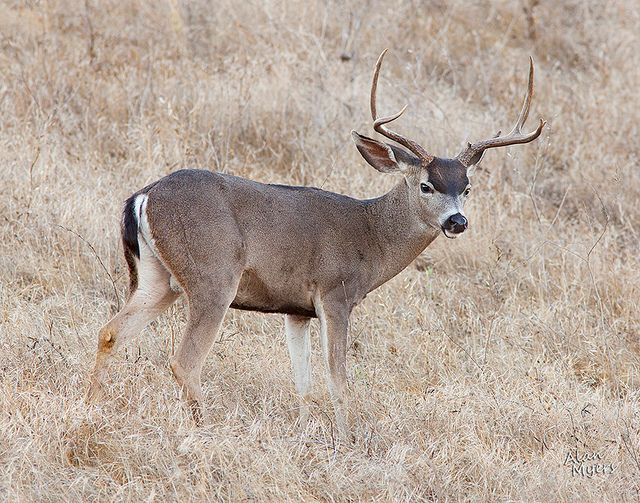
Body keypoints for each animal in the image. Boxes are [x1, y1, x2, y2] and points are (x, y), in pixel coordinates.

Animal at [86, 49, 544, 440]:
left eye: (467, 188)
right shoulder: (335, 293)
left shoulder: (296, 308)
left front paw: (307, 433)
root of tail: (143, 196)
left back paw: (90, 408)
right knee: (184, 360)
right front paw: (347, 440)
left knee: (110, 332)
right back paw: (204, 429)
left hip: (157, 278)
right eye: (426, 185)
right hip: (212, 276)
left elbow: (302, 380)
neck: (369, 235)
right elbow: (337, 376)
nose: (457, 221)